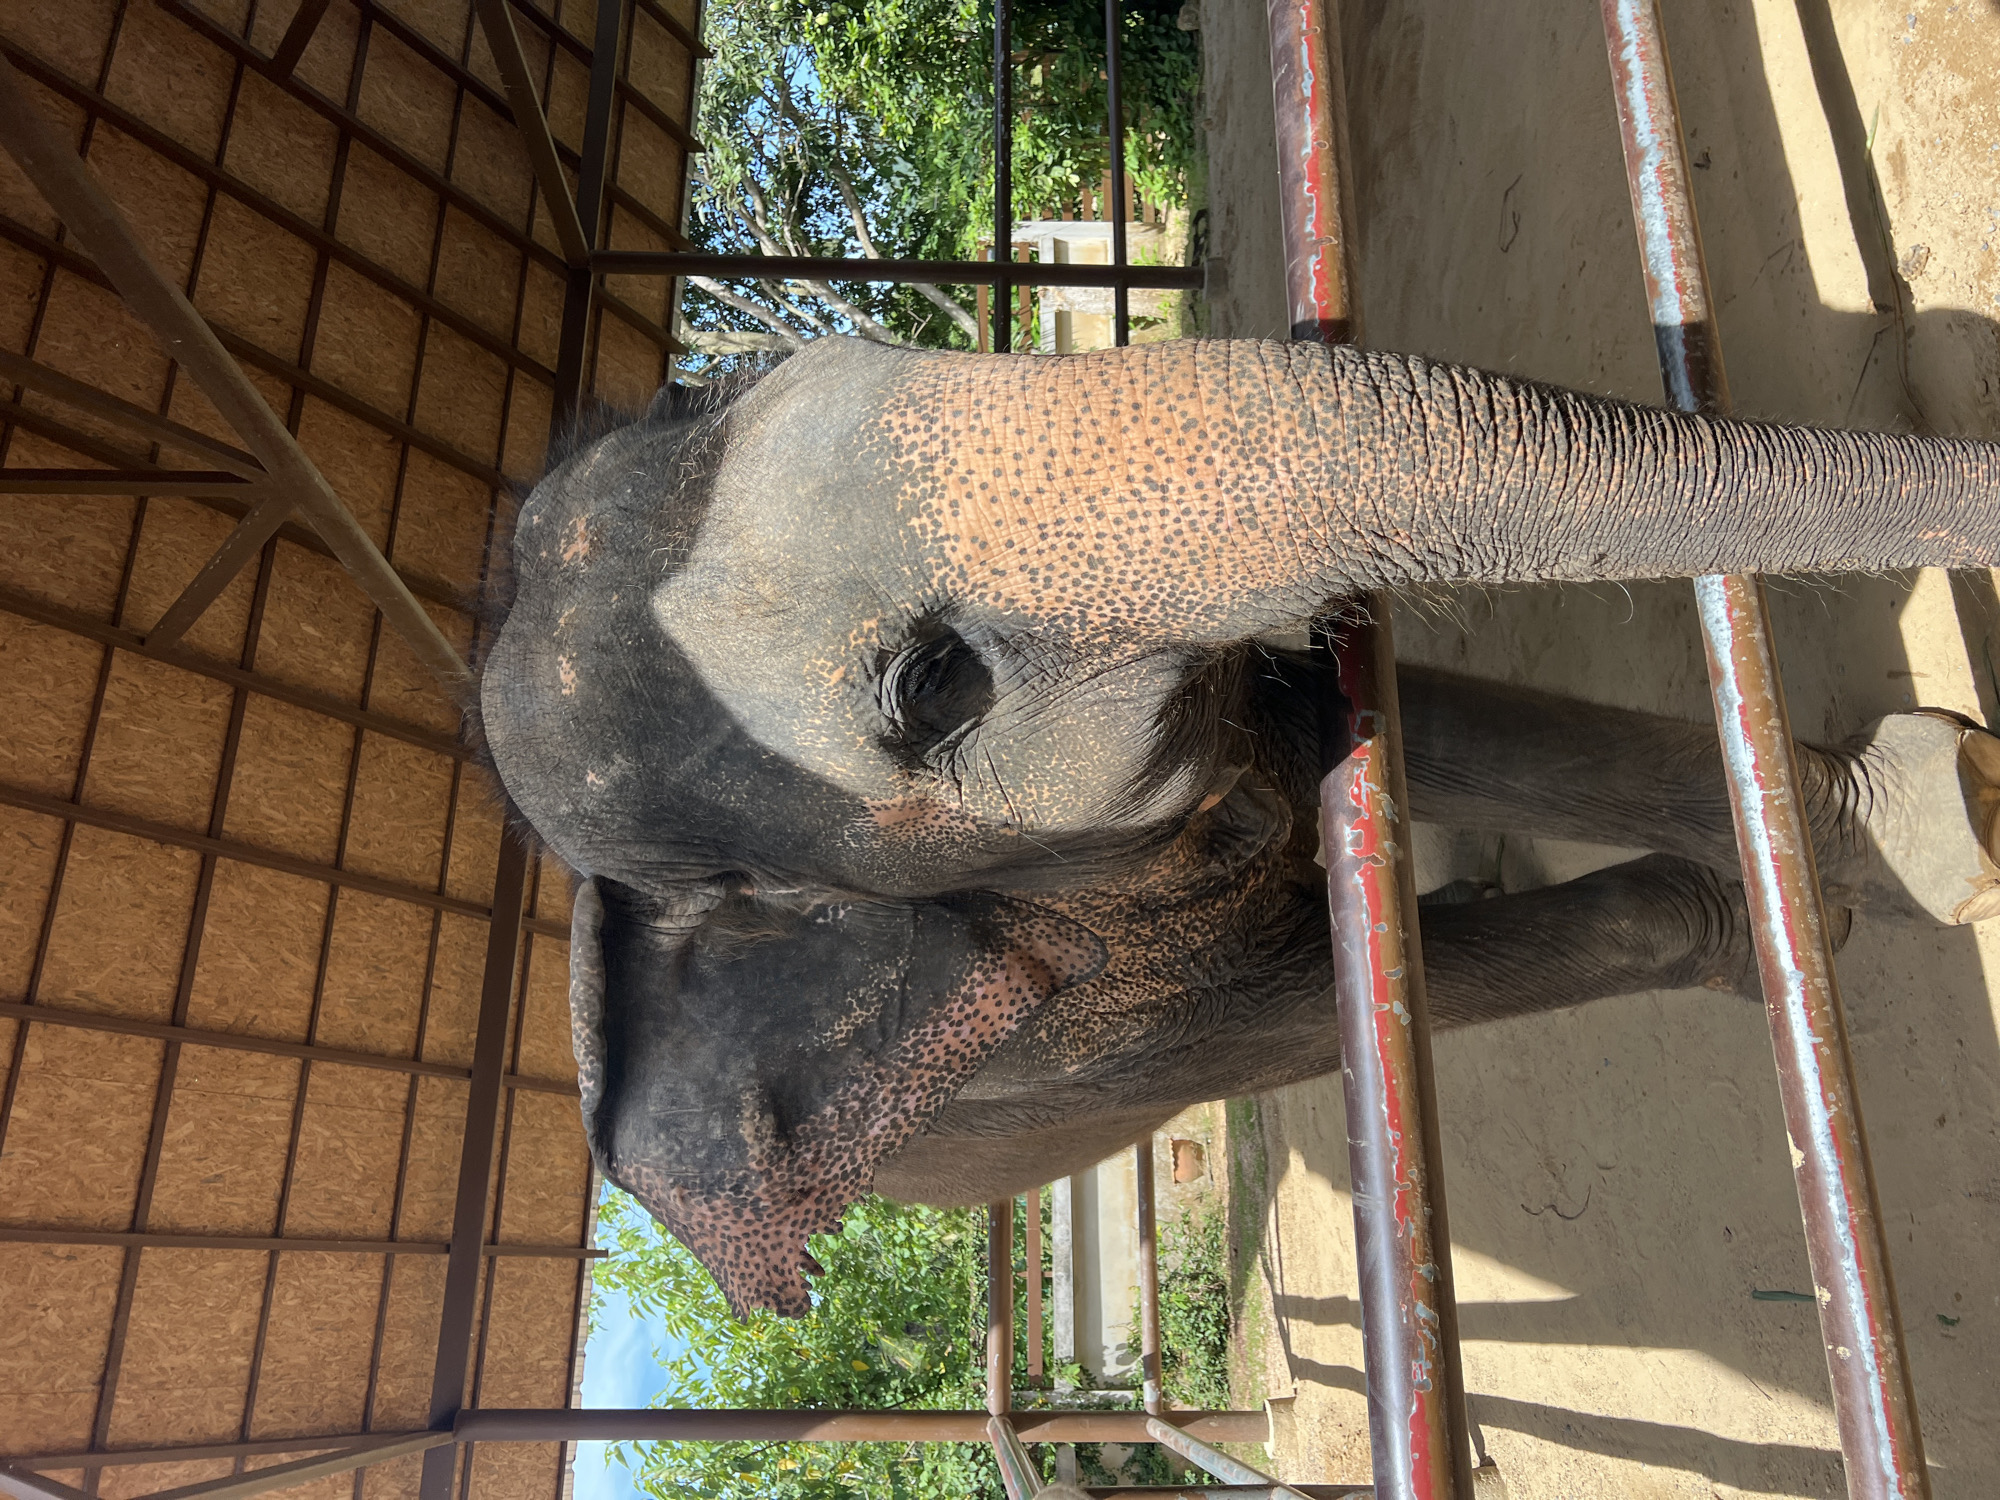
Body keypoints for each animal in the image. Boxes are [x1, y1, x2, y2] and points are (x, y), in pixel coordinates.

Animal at [477, 336, 2000, 1317]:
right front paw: (1778, 927)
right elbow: (1304, 1010)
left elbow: (1397, 724)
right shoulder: (1070, 1037)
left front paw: (1936, 814)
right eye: (935, 682)